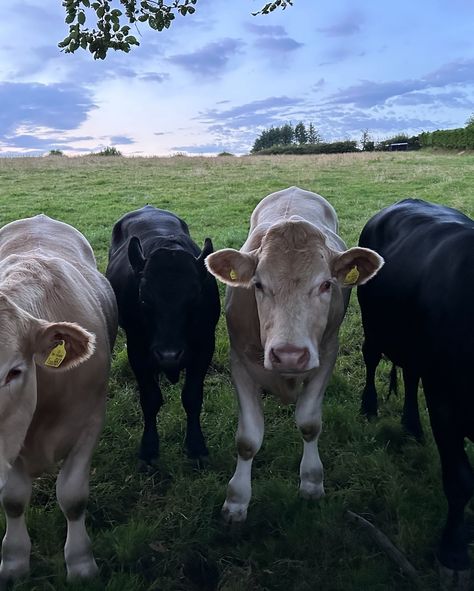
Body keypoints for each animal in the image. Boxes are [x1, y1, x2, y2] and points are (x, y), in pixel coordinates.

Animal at [0, 215, 117, 584]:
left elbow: (73, 496)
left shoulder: (90, 421)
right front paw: (14, 561)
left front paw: (80, 563)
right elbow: (13, 499)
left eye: (14, 372)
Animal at [105, 206, 220, 464]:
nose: (169, 355)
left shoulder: (205, 346)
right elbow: (150, 399)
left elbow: (192, 397)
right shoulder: (137, 349)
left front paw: (196, 446)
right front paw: (149, 449)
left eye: (194, 300)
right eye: (144, 299)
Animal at [206, 186, 384, 524]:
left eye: (326, 284)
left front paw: (312, 482)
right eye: (258, 284)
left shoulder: (326, 354)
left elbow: (309, 423)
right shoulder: (239, 363)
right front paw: (237, 500)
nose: (289, 354)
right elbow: (247, 440)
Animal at [360, 199, 474, 588]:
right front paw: (453, 553)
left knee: (410, 376)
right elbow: (459, 480)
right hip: (373, 325)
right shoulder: (444, 401)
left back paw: (411, 425)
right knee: (371, 358)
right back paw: (369, 408)